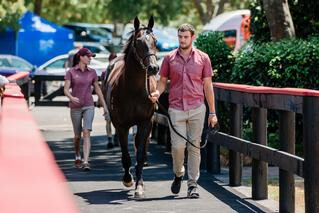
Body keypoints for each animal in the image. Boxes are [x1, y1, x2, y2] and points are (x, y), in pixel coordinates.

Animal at [102, 16, 159, 198]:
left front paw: (139, 186)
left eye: (155, 40)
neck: (133, 89)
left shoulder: (145, 122)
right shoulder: (121, 126)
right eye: (139, 41)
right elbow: (126, 155)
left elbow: (140, 154)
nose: (153, 68)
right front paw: (128, 179)